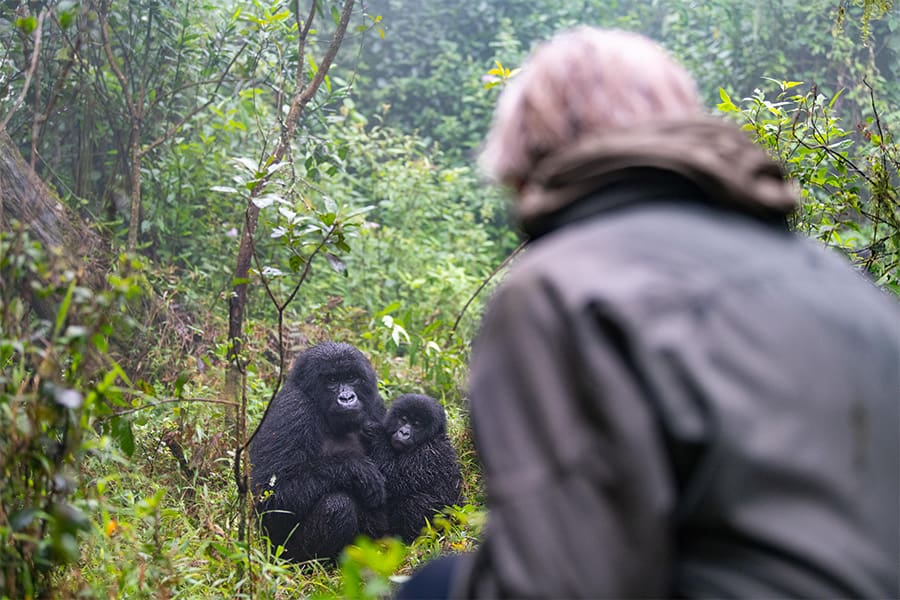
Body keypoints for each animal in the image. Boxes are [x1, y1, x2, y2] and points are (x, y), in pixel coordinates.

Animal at [250, 342, 386, 564]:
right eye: (331, 380)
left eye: (351, 377)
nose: (347, 398)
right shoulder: (294, 409)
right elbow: (271, 499)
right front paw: (356, 468)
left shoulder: (376, 405)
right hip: (280, 554)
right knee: (337, 505)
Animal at [368, 394, 460, 544]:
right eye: (403, 419)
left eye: (417, 424)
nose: (404, 432)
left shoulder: (429, 455)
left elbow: (392, 480)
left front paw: (377, 434)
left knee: (415, 502)